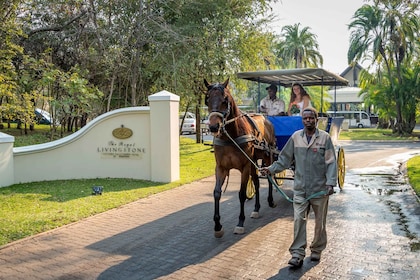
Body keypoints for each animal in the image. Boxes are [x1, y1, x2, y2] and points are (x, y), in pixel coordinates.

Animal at [204, 77, 278, 237]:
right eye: (207, 99)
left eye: (225, 99)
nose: (213, 127)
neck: (230, 136)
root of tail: (267, 120)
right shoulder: (221, 167)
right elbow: (217, 193)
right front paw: (217, 225)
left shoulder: (244, 167)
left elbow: (242, 194)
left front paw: (240, 222)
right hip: (254, 161)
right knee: (256, 181)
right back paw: (256, 209)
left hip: (267, 156)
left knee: (269, 178)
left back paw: (270, 200)